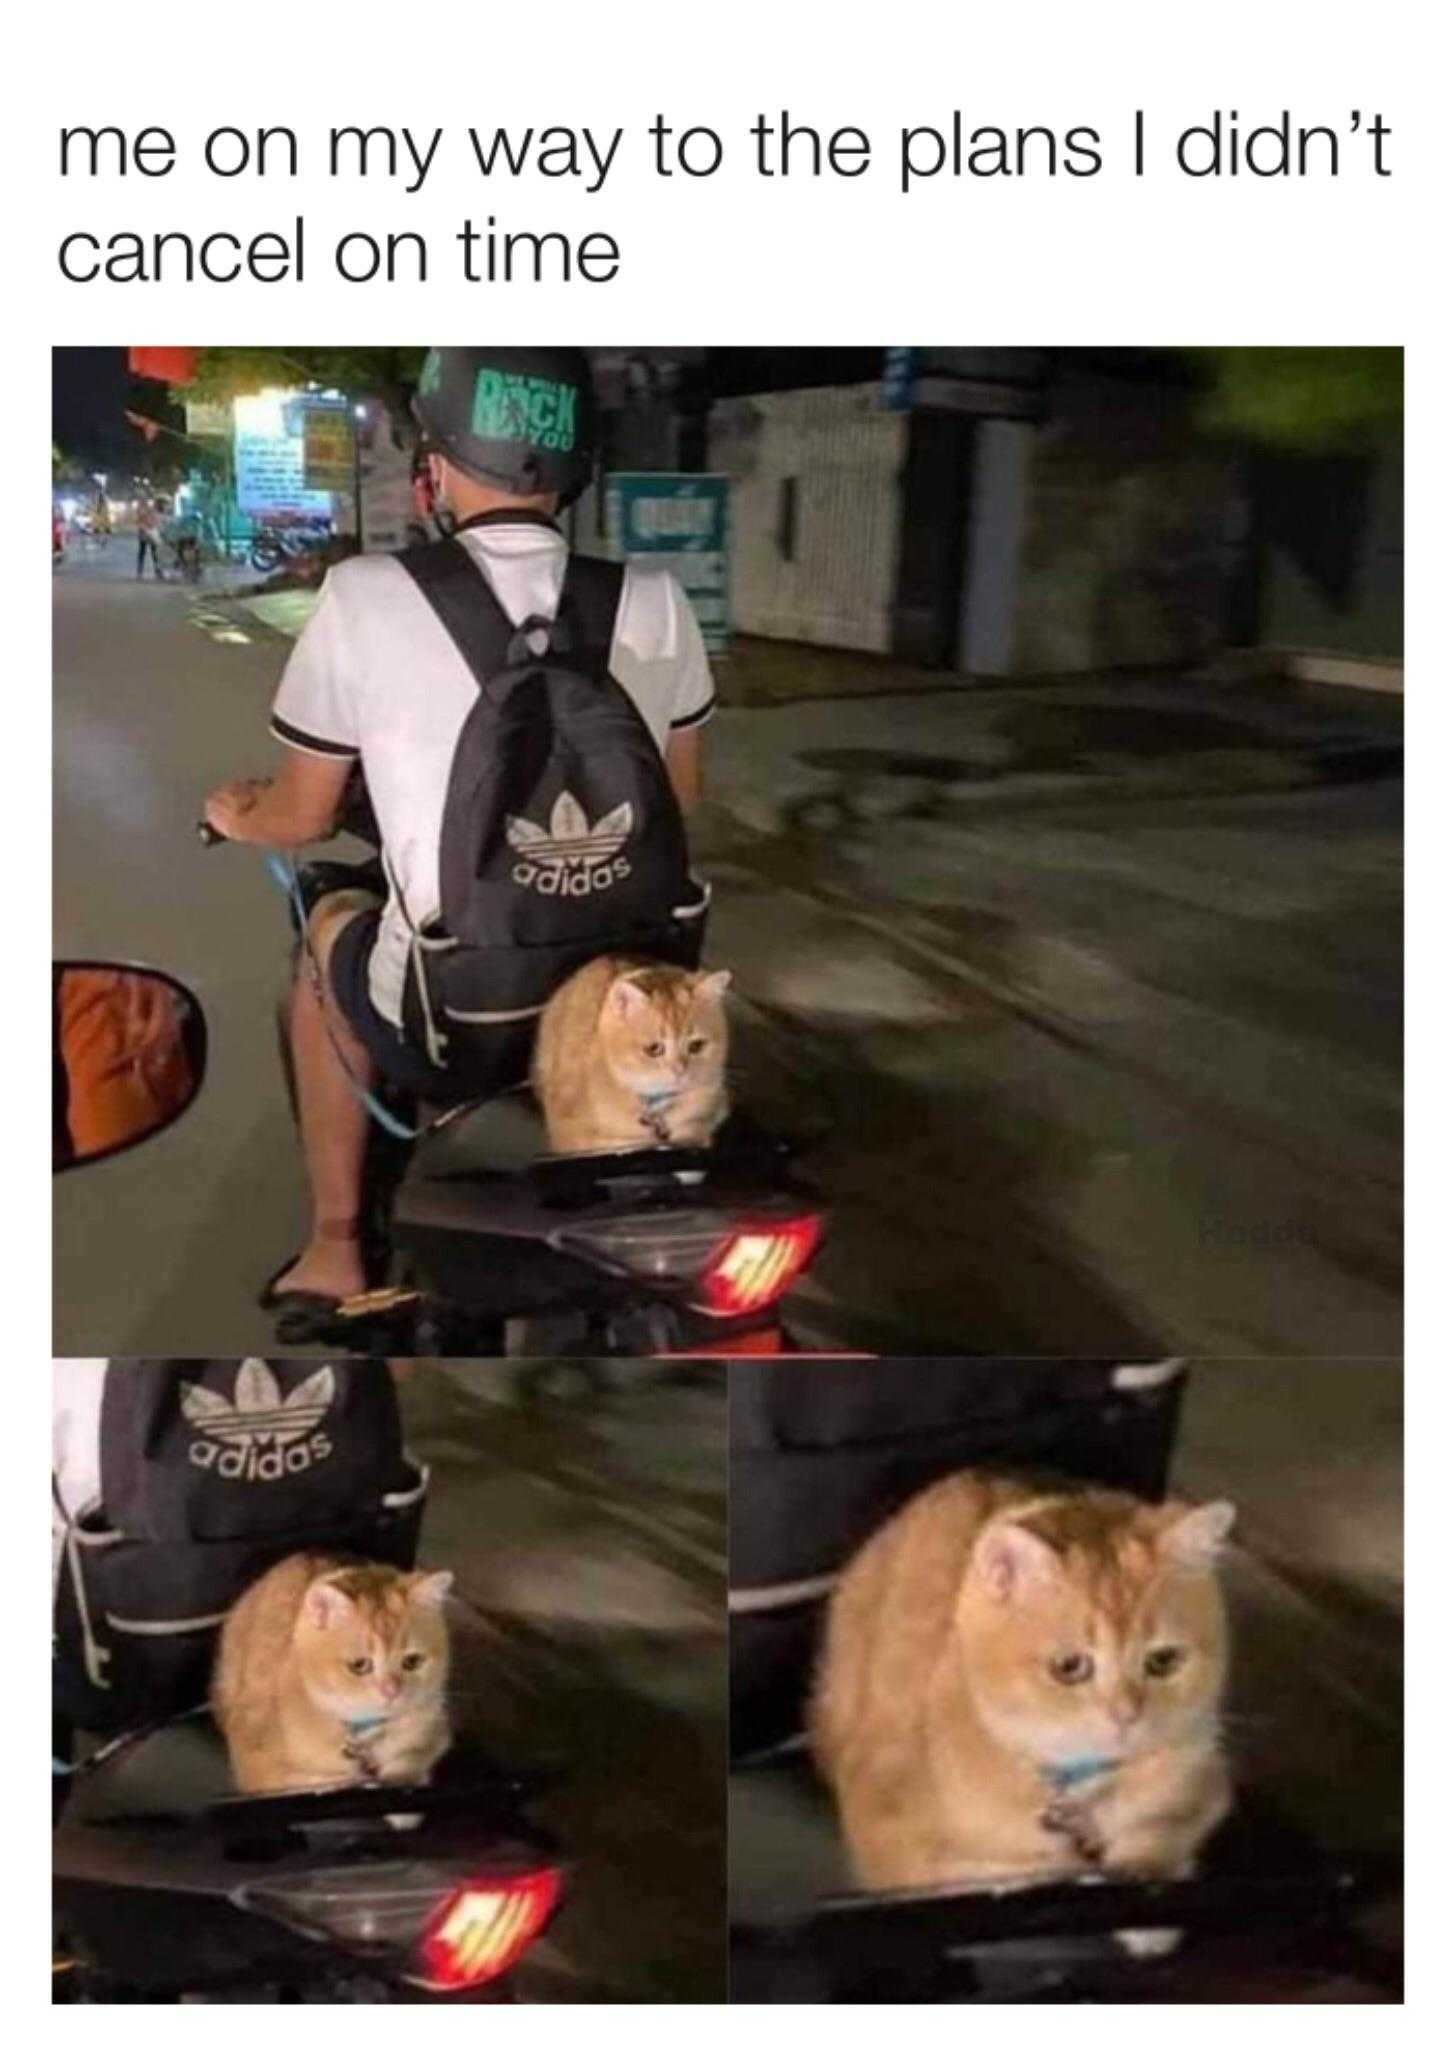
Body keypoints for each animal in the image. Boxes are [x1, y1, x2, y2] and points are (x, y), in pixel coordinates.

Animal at [210, 1548, 454, 1794]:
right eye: (359, 1665)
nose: (391, 1691)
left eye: (412, 1661)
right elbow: (312, 1780)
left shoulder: (434, 1734)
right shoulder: (256, 1766)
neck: (362, 1735)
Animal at [815, 1466, 1236, 1892]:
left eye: (1163, 1661)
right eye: (1069, 1666)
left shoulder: (1203, 1788)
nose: (1126, 1715)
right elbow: (998, 1868)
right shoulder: (889, 1840)